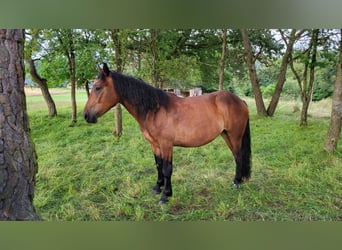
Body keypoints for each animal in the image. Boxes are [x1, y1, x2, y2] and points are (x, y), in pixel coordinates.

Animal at [83, 63, 251, 204]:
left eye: (97, 88)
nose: (86, 115)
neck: (155, 110)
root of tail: (240, 101)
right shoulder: (155, 145)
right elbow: (158, 165)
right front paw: (157, 188)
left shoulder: (166, 145)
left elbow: (167, 169)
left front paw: (165, 195)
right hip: (226, 135)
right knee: (236, 156)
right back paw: (240, 180)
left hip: (235, 136)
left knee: (239, 156)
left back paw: (237, 182)